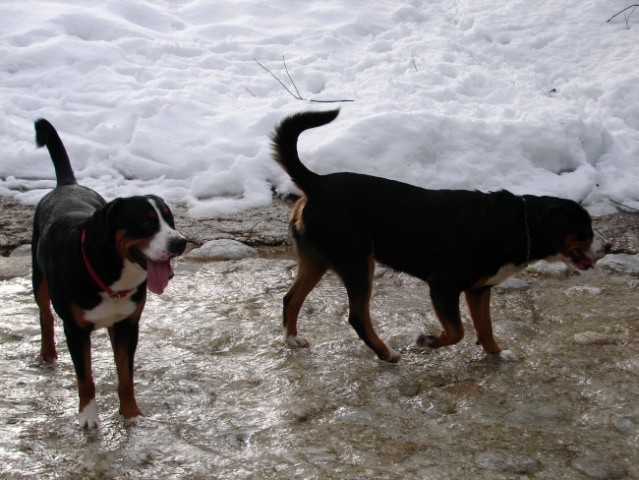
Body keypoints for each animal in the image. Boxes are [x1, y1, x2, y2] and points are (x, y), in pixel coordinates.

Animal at [32, 119, 186, 428]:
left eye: (170, 219)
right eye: (145, 222)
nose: (180, 242)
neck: (109, 273)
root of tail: (67, 185)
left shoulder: (128, 325)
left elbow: (125, 375)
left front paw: (131, 413)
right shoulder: (76, 330)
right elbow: (85, 378)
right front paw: (89, 417)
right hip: (38, 279)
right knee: (45, 314)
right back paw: (48, 354)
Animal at [272, 109, 608, 364]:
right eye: (586, 229)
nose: (608, 246)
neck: (516, 224)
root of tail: (317, 183)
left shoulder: (478, 289)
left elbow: (485, 327)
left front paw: (497, 355)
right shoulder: (443, 285)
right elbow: (458, 331)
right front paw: (428, 340)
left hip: (318, 260)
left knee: (291, 298)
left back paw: (292, 339)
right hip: (357, 261)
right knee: (357, 316)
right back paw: (387, 353)